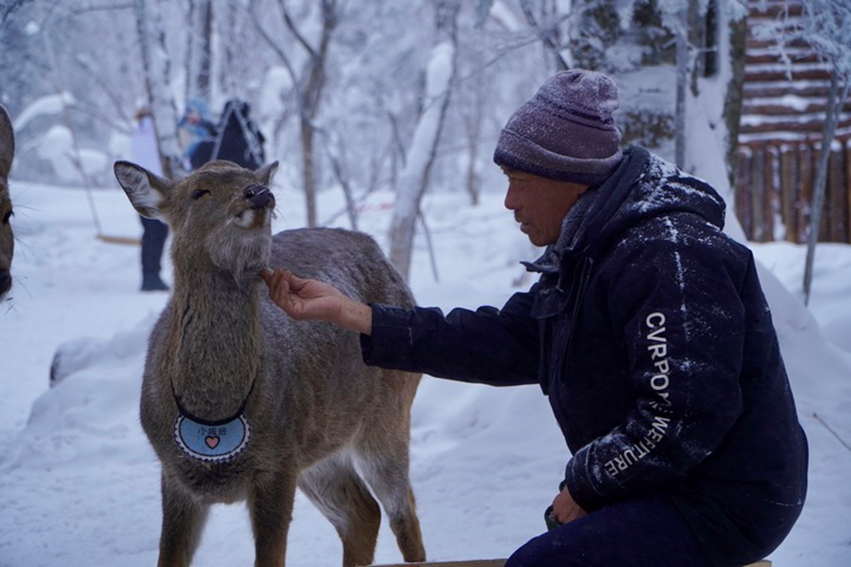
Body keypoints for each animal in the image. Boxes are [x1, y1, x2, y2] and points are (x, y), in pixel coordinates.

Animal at [115, 156, 426, 567]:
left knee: (401, 509)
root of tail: (382, 256)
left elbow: (271, 556)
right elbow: (169, 556)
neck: (213, 415)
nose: (259, 193)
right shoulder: (175, 474)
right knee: (362, 512)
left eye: (249, 176)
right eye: (199, 192)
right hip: (319, 445)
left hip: (388, 413)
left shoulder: (277, 463)